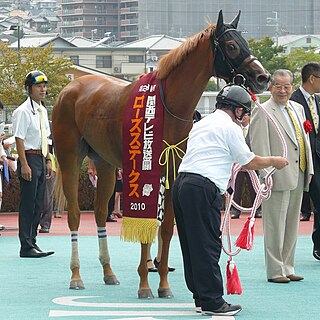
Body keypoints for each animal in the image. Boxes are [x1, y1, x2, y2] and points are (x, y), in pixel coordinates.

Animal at [52, 10, 270, 300]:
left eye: (245, 42)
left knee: (99, 213)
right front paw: (145, 285)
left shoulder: (174, 171)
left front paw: (164, 284)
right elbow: (147, 225)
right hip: (70, 158)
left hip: (104, 164)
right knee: (75, 215)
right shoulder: (147, 173)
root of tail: (70, 88)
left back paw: (108, 271)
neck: (170, 108)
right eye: (232, 46)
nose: (263, 77)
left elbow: (166, 228)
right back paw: (76, 275)